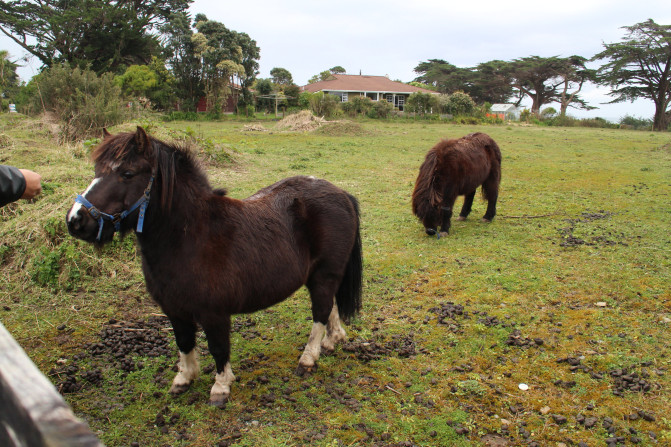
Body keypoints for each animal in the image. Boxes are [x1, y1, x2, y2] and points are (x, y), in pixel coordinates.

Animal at [66, 128, 362, 408]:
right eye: (96, 171)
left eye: (127, 173)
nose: (75, 221)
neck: (189, 238)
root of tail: (341, 193)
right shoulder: (174, 310)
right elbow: (184, 343)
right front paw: (184, 378)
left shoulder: (214, 313)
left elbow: (218, 348)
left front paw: (220, 388)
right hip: (319, 277)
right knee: (330, 306)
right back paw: (331, 340)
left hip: (324, 274)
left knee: (320, 311)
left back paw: (308, 359)